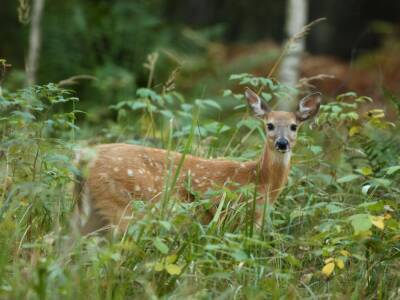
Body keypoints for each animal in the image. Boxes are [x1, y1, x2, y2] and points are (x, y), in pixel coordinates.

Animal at [73, 88, 320, 236]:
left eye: (294, 126)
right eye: (269, 125)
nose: (282, 143)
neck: (260, 180)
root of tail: (82, 159)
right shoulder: (240, 216)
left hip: (91, 209)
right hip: (123, 205)